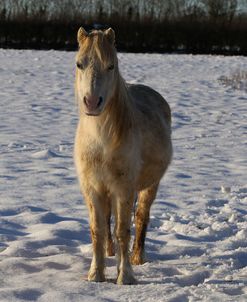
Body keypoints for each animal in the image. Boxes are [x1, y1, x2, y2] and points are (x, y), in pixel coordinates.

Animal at [74, 27, 173, 284]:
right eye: (79, 64)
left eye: (111, 66)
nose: (92, 102)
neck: (101, 142)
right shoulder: (93, 187)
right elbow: (97, 229)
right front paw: (96, 274)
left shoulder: (124, 188)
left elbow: (123, 229)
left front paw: (125, 275)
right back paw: (110, 253)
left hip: (149, 186)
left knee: (141, 216)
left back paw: (137, 257)